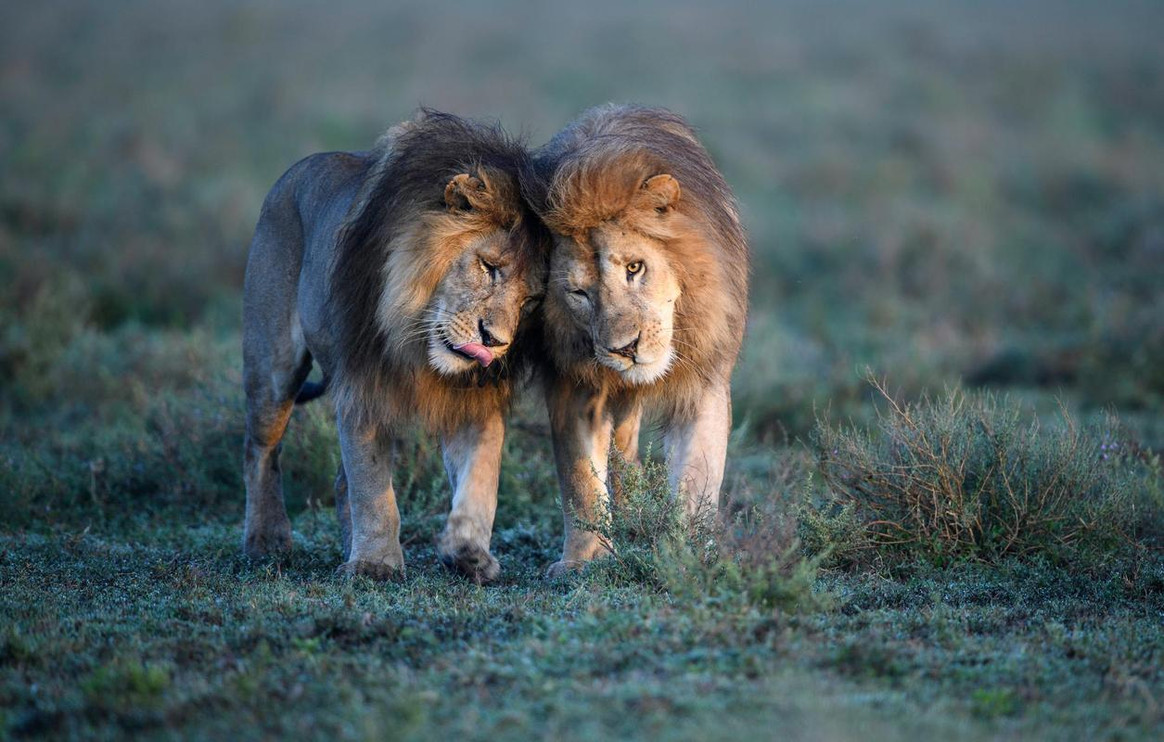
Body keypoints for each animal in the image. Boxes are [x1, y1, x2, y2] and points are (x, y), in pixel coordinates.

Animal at [242, 110, 547, 583]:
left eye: (530, 301)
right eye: (489, 267)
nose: (494, 342)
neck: (416, 342)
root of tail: (293, 173)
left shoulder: (474, 401)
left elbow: (481, 479)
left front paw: (468, 552)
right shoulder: (362, 389)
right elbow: (373, 489)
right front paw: (375, 564)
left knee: (338, 480)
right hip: (271, 368)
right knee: (259, 450)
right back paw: (265, 541)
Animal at [530, 104, 749, 577]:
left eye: (635, 267)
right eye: (579, 293)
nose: (624, 349)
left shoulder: (703, 383)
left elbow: (696, 479)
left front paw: (686, 553)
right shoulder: (574, 384)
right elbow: (580, 479)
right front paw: (584, 560)